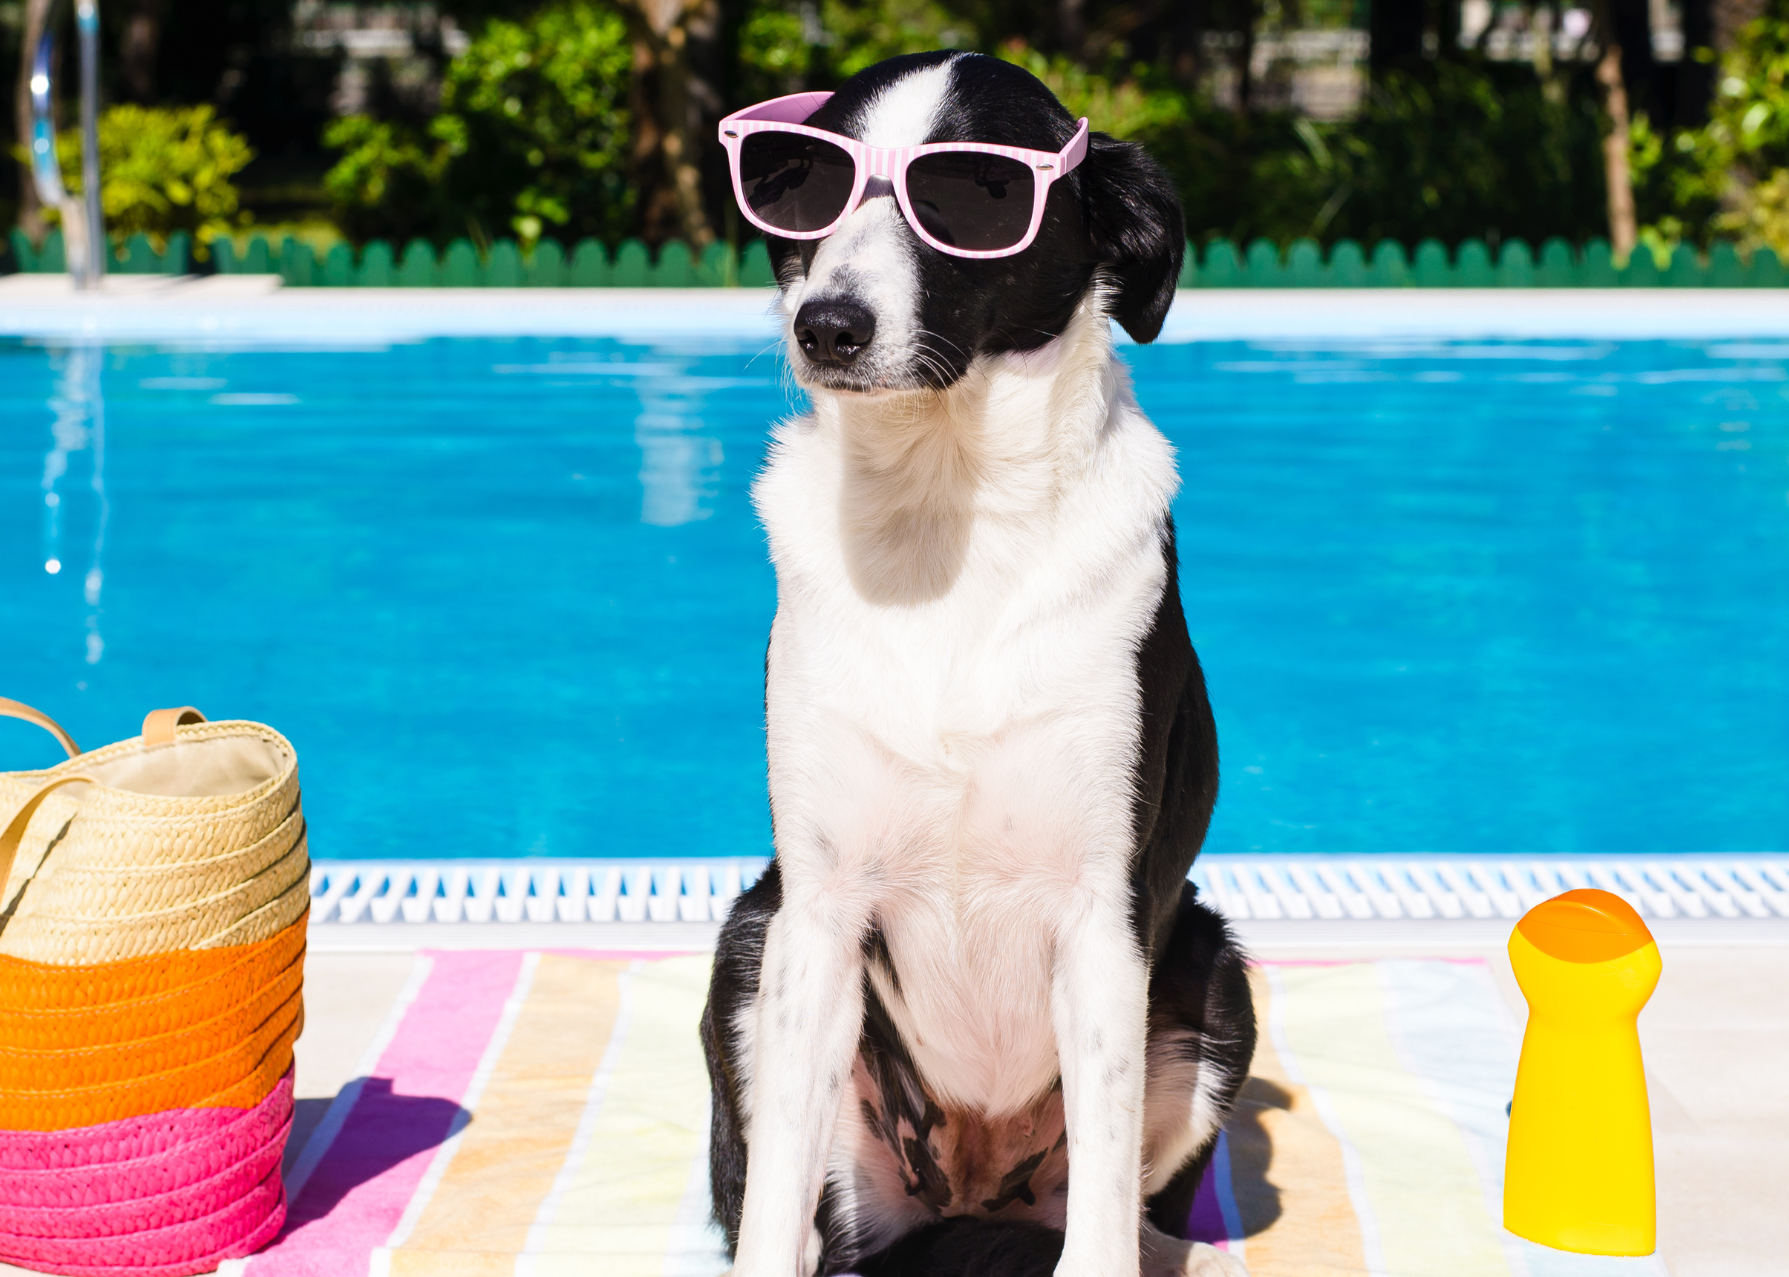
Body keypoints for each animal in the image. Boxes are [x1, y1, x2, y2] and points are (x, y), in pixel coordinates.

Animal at [697, 49, 1259, 1273]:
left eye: (975, 192)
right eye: (804, 184)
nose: (828, 324)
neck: (942, 512)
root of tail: (965, 1195)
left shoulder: (1102, 915)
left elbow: (1101, 1214)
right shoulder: (815, 912)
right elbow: (769, 1206)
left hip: (1214, 978)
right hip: (749, 943)